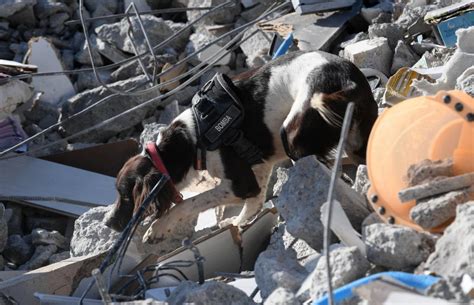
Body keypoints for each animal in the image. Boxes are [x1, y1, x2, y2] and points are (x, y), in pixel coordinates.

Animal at [104, 50, 378, 235]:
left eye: (125, 196)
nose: (108, 222)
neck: (189, 141)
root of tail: (345, 85)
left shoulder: (240, 185)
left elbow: (189, 203)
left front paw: (159, 228)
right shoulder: (259, 171)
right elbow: (253, 204)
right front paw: (238, 225)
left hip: (294, 136)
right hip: (358, 138)